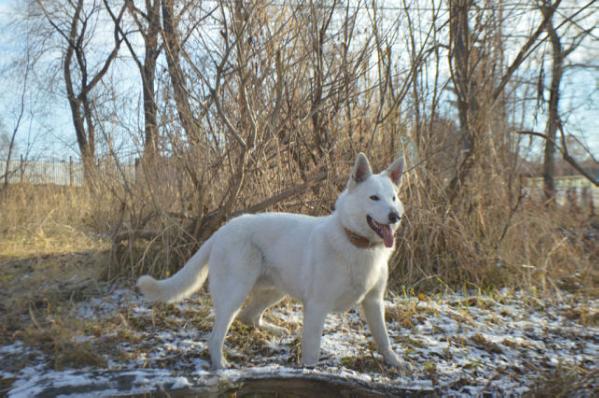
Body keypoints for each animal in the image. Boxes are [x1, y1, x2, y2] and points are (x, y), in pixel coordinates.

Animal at [138, 153, 406, 370]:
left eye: (393, 198)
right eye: (374, 198)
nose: (395, 216)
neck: (356, 243)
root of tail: (222, 230)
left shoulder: (374, 302)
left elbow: (384, 339)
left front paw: (394, 362)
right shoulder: (317, 307)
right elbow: (312, 351)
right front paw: (311, 372)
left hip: (275, 291)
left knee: (249, 316)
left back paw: (275, 330)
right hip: (235, 294)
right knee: (216, 336)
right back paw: (220, 365)